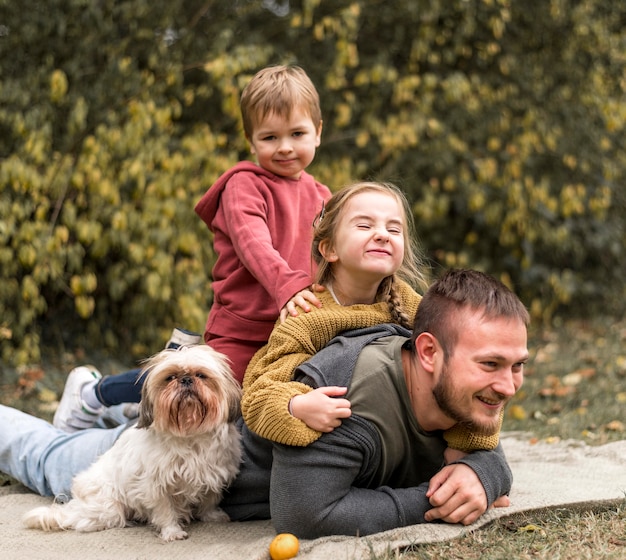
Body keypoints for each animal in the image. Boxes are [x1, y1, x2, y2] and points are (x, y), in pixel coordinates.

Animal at [22, 346, 241, 544]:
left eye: (201, 375)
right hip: (109, 509)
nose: (186, 379)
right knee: (81, 520)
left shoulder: (215, 473)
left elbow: (210, 498)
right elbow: (165, 510)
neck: (190, 433)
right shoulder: (155, 485)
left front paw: (211, 515)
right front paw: (171, 531)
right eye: (169, 377)